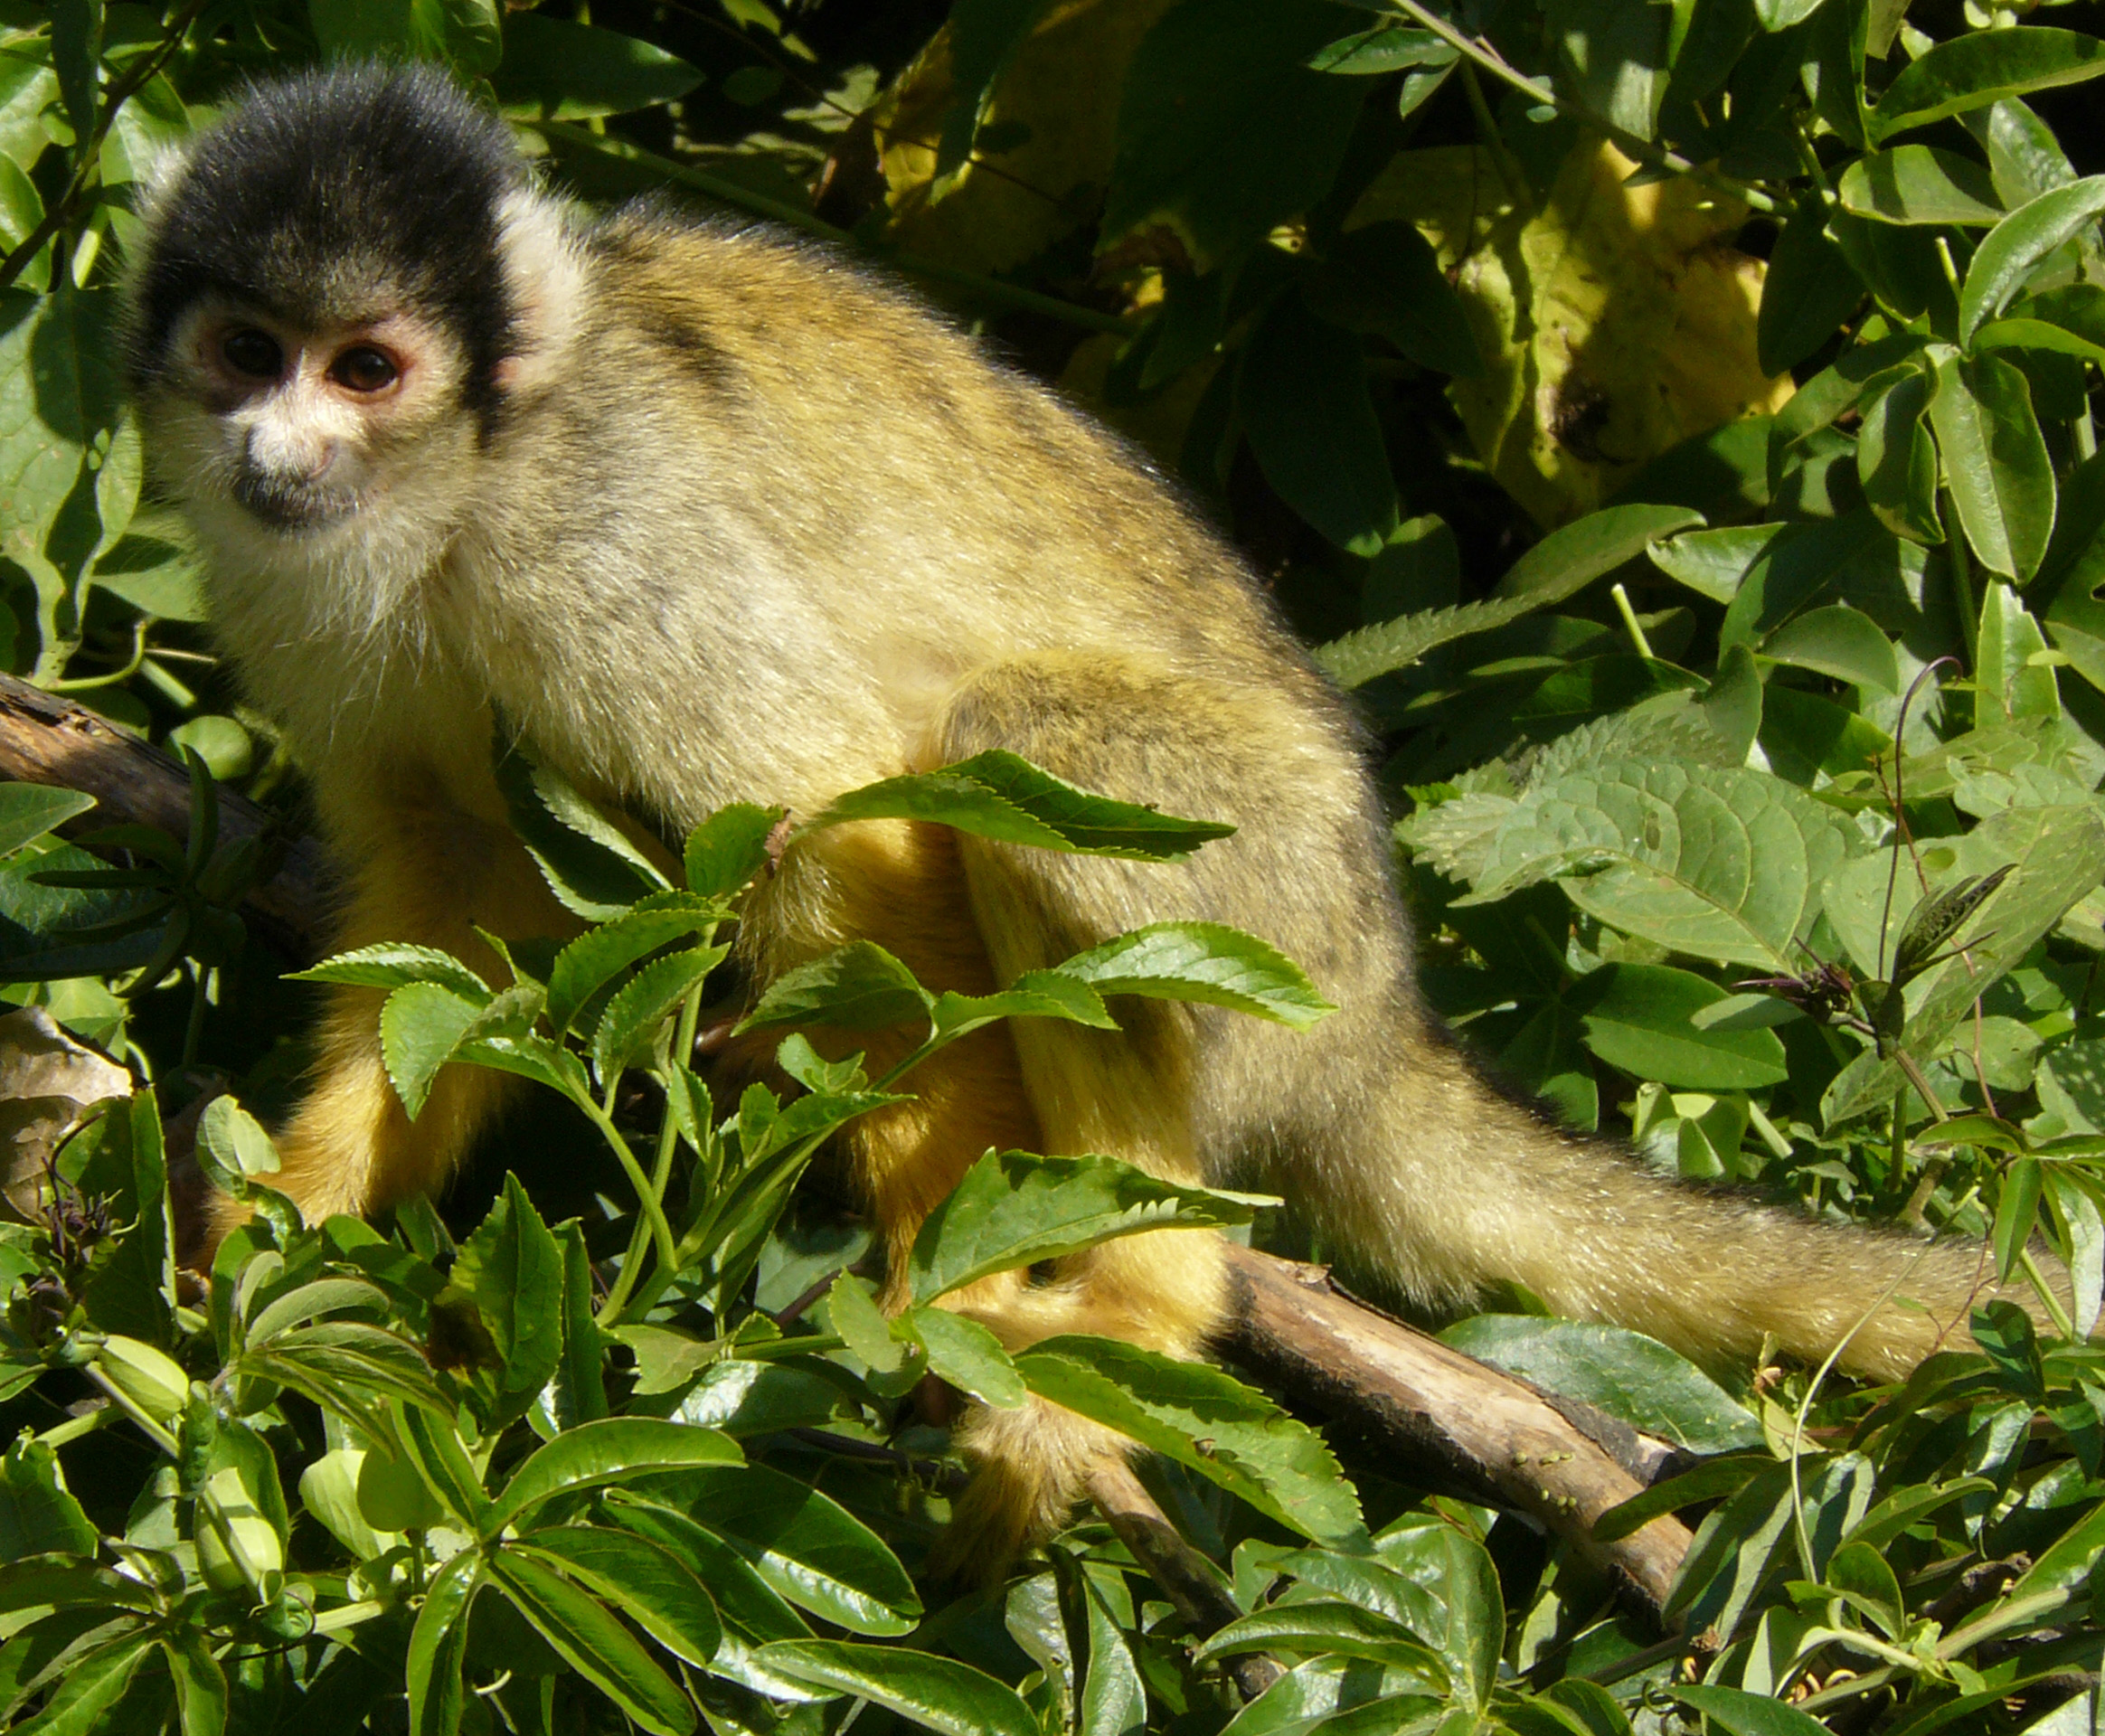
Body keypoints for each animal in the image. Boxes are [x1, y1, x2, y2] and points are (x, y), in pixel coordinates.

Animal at [122, 63, 2037, 1572]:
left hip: (1285, 914)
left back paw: (1145, 1290)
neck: (454, 492)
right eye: (249, 353)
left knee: (1017, 745)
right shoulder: (289, 586)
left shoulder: (598, 541)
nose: (279, 455)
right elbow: (450, 904)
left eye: (366, 368)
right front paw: (291, 1223)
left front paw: (951, 1293)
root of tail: (1382, 1017)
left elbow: (833, 833)